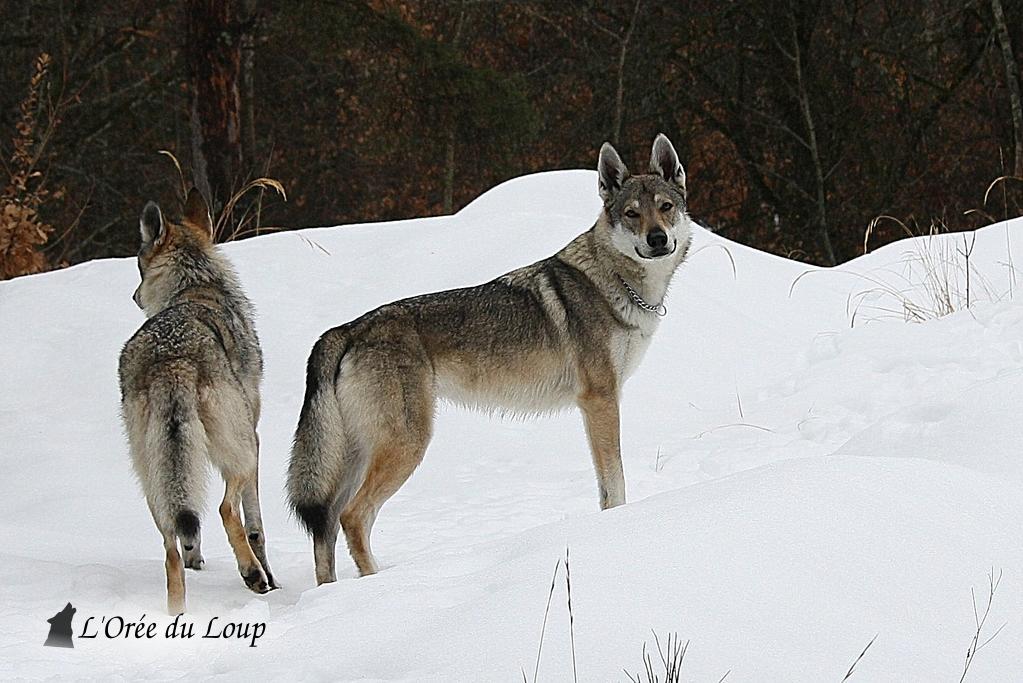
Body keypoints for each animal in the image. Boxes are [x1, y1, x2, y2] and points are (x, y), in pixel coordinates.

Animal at [119, 191, 276, 613]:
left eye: (137, 269)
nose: (134, 297)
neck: (196, 284)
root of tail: (171, 358)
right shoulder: (256, 437)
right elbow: (256, 525)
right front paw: (269, 577)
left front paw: (198, 558)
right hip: (241, 449)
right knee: (224, 509)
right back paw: (252, 575)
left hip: (152, 475)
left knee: (171, 547)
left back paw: (178, 614)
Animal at [284, 135, 691, 584]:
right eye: (632, 214)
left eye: (665, 207)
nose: (657, 239)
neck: (616, 284)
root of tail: (347, 328)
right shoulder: (600, 400)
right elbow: (614, 484)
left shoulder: (594, 405)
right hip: (406, 446)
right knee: (353, 516)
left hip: (358, 454)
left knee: (325, 524)